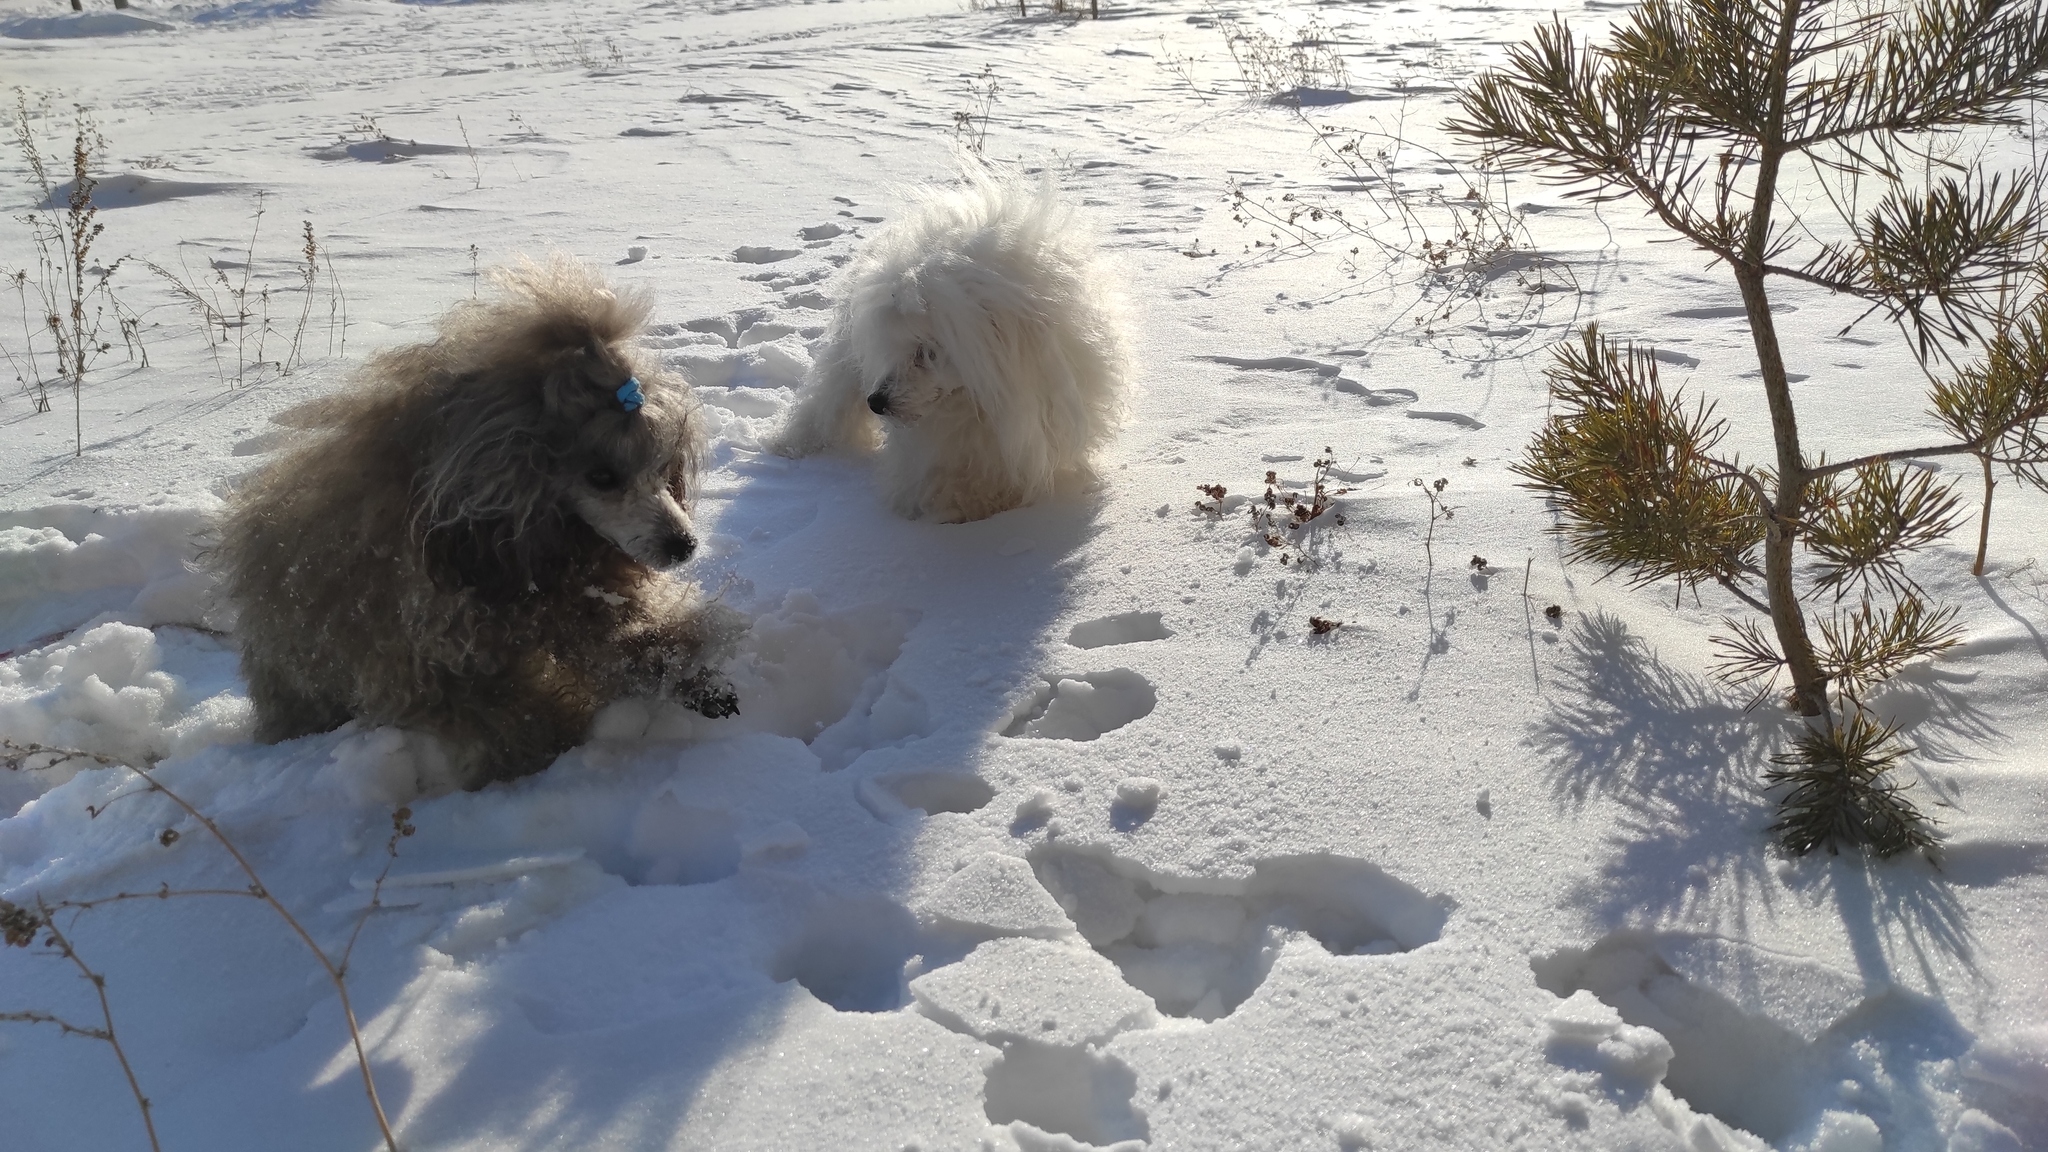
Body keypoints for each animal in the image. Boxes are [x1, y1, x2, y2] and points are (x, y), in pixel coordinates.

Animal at [770, 171, 1130, 520]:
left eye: (926, 353)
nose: (876, 402)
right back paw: (791, 445)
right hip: (845, 361)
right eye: (895, 347)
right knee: (827, 405)